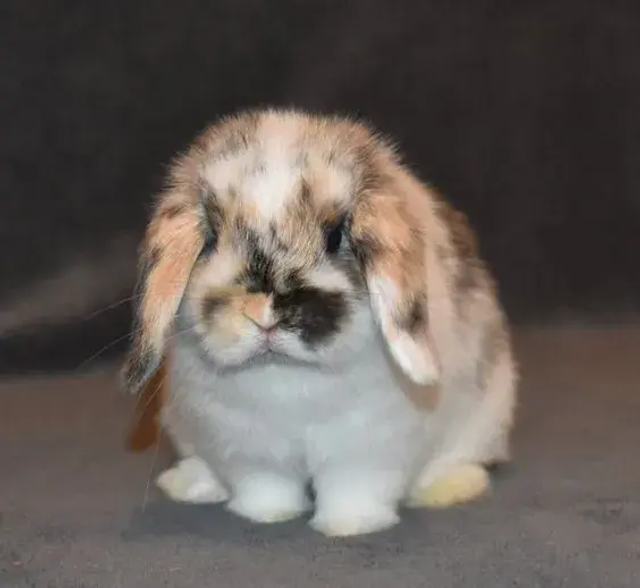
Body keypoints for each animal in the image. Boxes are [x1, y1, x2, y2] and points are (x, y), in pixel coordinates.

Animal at [122, 107, 518, 537]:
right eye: (210, 238)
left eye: (334, 236)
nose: (264, 314)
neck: (286, 377)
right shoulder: (250, 452)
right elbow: (265, 487)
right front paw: (265, 516)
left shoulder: (366, 450)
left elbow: (354, 489)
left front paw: (349, 527)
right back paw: (188, 482)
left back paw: (450, 486)